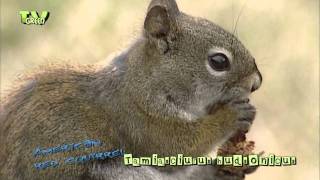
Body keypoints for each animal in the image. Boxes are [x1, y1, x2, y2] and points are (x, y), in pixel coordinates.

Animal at [0, 0, 262, 179]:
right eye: (219, 62)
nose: (256, 82)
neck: (142, 83)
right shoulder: (136, 120)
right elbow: (178, 147)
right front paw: (231, 116)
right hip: (113, 170)